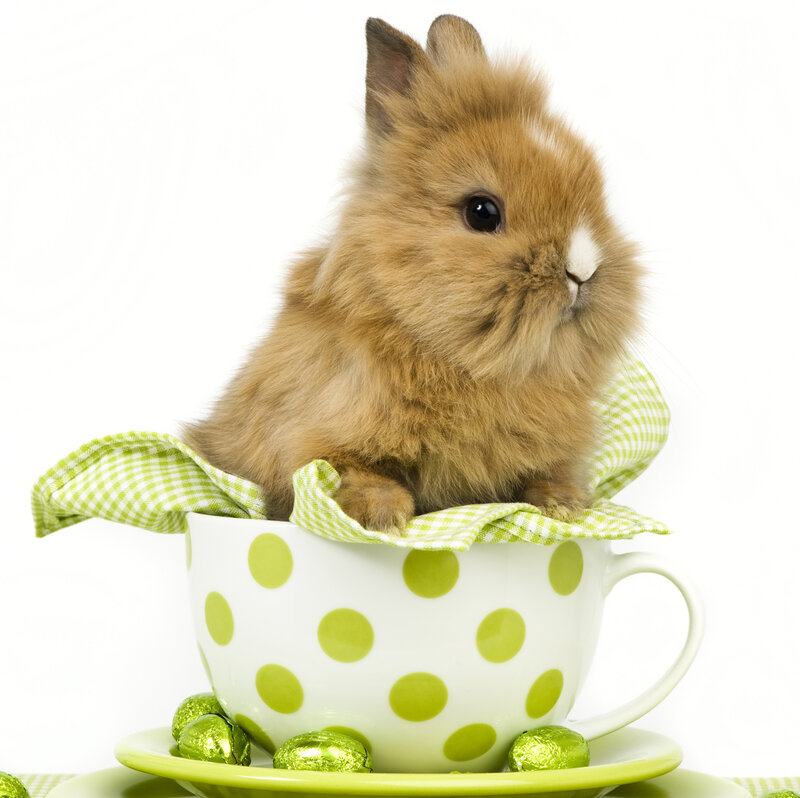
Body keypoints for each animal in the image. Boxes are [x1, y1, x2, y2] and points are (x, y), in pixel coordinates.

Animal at [183, 15, 642, 534]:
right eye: (482, 212)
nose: (583, 270)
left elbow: (545, 473)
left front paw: (563, 505)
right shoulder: (314, 437)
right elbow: (350, 470)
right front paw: (382, 517)